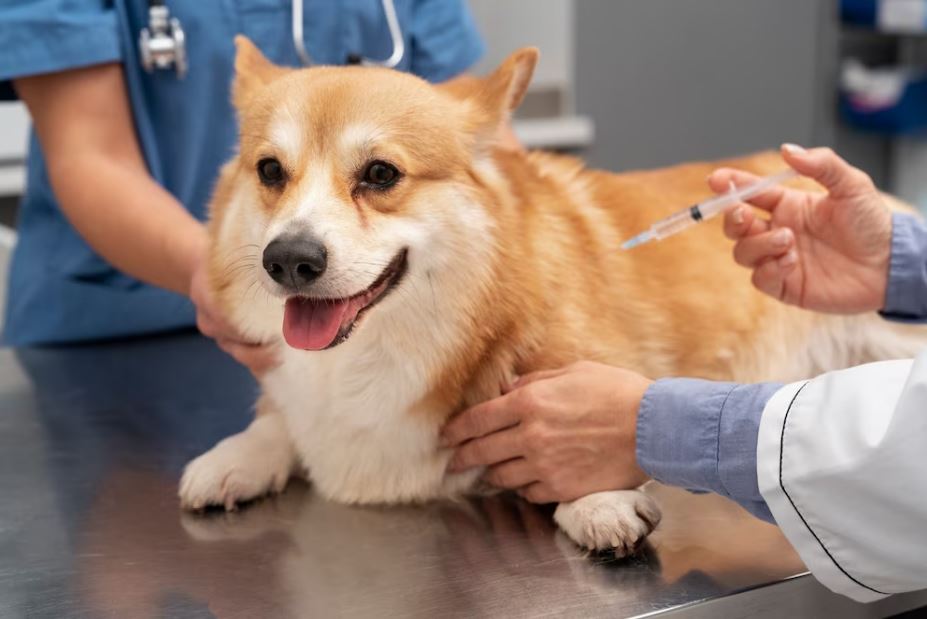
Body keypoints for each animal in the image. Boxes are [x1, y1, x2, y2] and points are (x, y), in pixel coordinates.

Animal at [178, 36, 924, 556]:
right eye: (270, 171)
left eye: (381, 174)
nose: (288, 259)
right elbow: (275, 420)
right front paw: (232, 458)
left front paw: (597, 503)